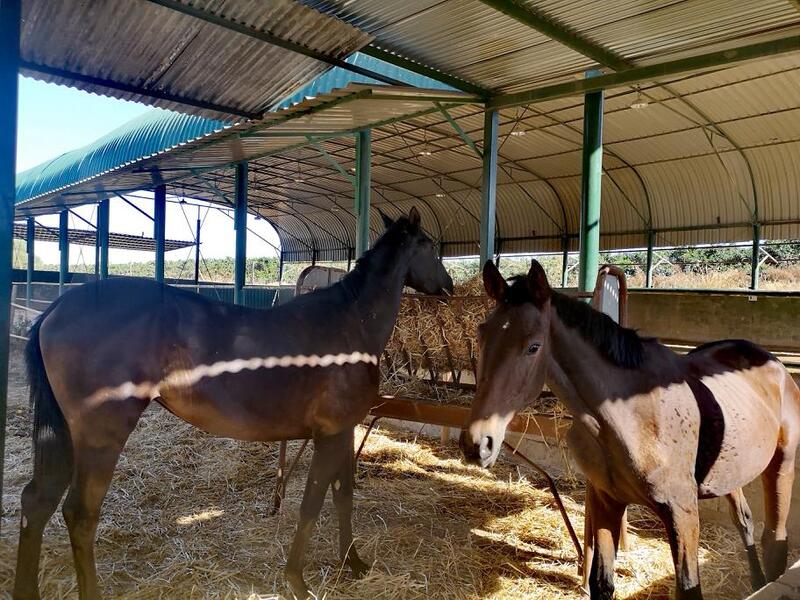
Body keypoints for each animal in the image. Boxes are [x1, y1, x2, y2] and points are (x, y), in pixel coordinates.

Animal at [14, 207, 450, 600]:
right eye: (430, 246)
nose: (448, 285)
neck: (350, 324)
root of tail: (58, 307)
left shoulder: (343, 431)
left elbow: (343, 496)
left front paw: (353, 563)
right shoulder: (330, 434)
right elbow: (311, 504)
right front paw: (297, 581)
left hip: (63, 435)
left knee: (37, 501)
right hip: (100, 437)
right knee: (80, 515)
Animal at [462, 262, 800, 600]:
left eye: (534, 346)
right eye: (482, 334)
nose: (477, 443)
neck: (630, 415)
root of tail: (772, 363)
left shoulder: (682, 513)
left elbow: (689, 587)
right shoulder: (606, 502)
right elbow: (602, 583)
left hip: (780, 465)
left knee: (774, 538)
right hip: (729, 471)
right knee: (744, 519)